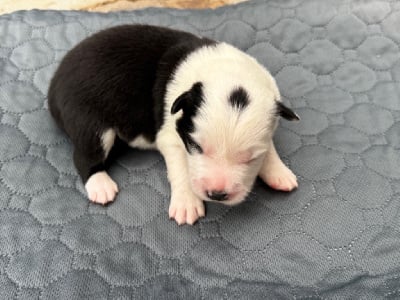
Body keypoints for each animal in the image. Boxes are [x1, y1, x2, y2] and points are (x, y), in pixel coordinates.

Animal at [48, 24, 298, 224]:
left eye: (250, 158)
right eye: (196, 147)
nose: (217, 194)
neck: (228, 70)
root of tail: (56, 80)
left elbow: (270, 147)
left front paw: (279, 172)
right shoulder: (172, 138)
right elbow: (181, 169)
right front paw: (187, 203)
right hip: (90, 121)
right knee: (84, 155)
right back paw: (100, 185)